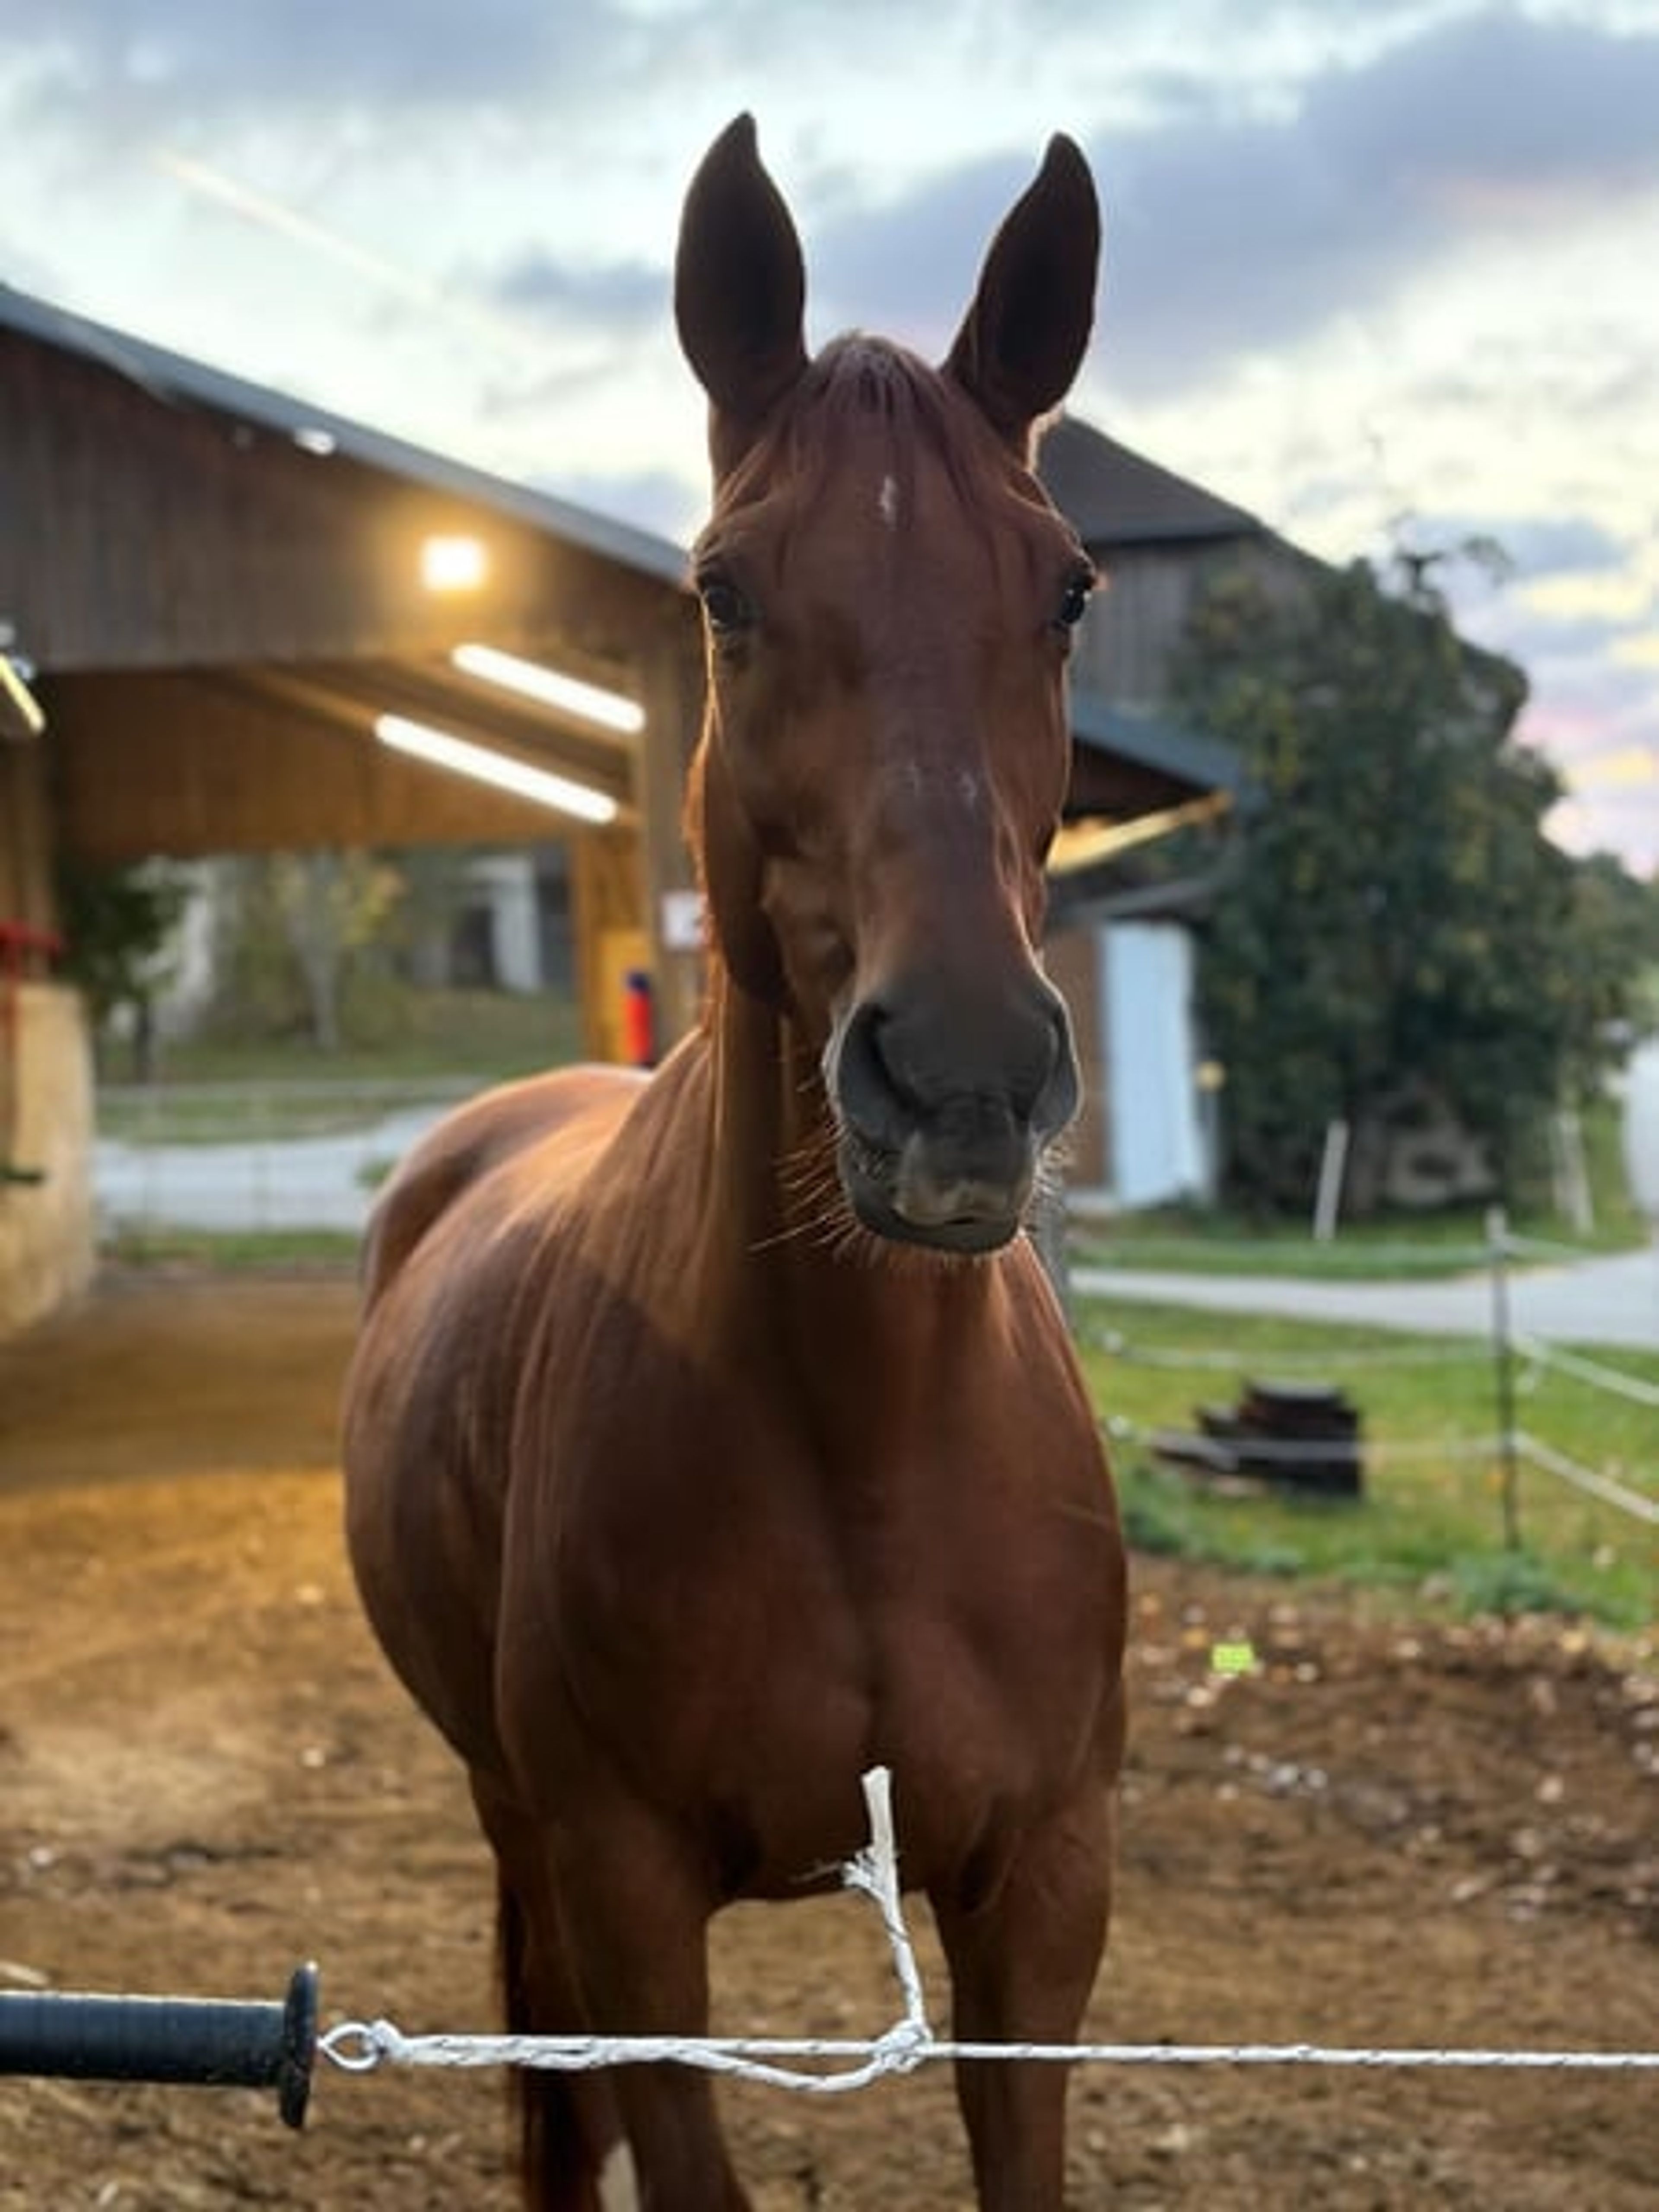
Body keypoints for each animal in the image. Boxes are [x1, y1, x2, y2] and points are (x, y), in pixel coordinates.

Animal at [342, 115, 1126, 2212]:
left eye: (1067, 589)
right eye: (723, 591)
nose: (959, 1076)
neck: (863, 1443)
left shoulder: (1042, 1900)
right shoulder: (628, 1894)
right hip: (515, 1824)